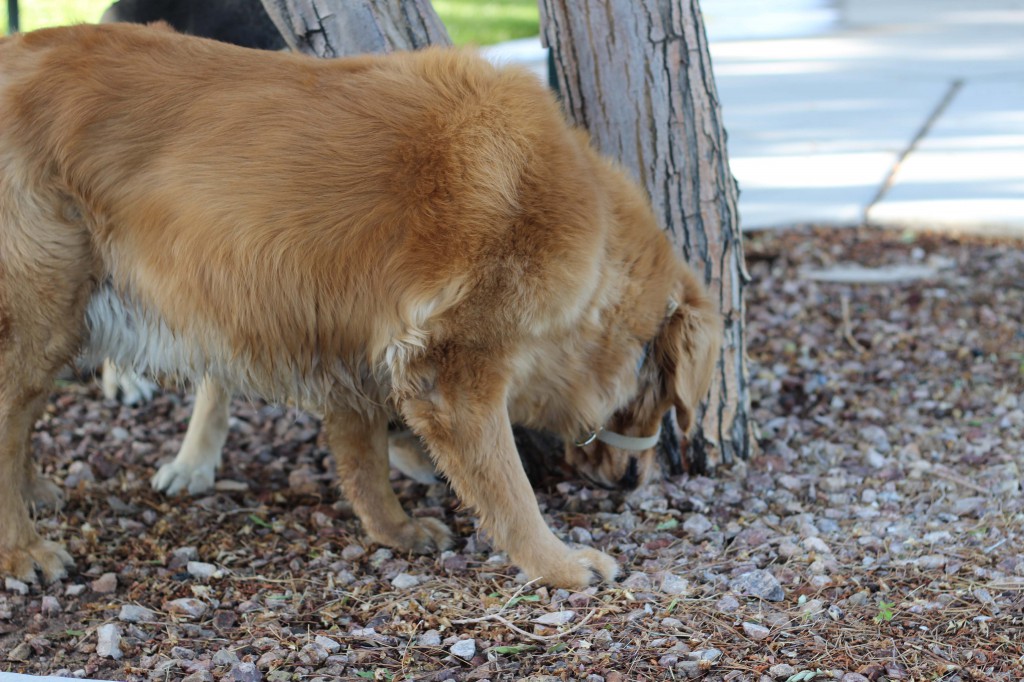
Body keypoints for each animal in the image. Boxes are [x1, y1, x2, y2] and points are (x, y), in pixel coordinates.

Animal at [0, 21, 720, 585]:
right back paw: (23, 551)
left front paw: (394, 532)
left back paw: (36, 493)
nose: (638, 483)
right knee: (11, 416)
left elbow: (363, 455)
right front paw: (560, 564)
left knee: (24, 418)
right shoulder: (453, 371)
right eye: (661, 389)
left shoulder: (351, 333)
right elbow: (508, 488)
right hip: (42, 312)